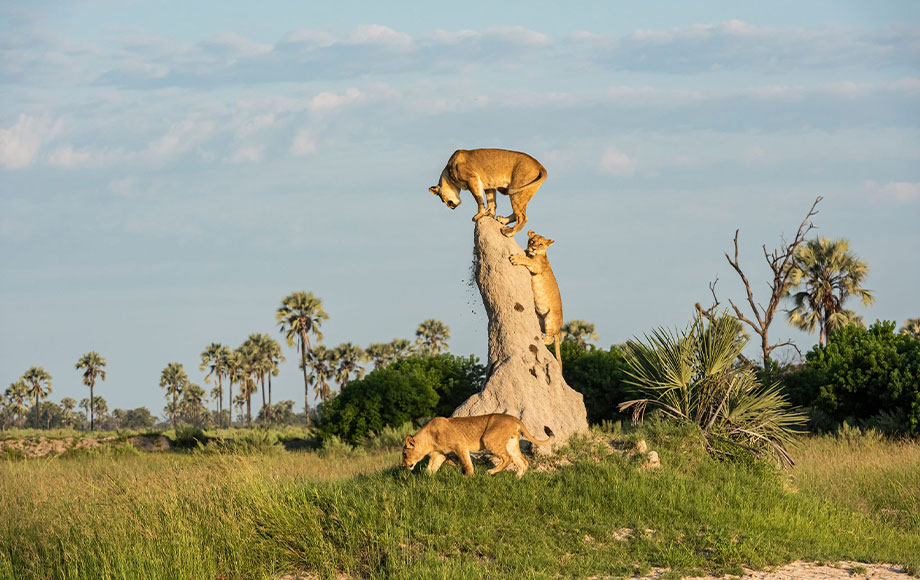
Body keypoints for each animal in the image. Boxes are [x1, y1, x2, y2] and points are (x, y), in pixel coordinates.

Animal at [402, 414, 552, 478]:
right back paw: (517, 478)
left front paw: (468, 476)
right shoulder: (439, 454)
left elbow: (467, 463)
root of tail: (515, 418)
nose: (403, 465)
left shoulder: (460, 445)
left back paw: (491, 472)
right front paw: (426, 478)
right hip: (511, 443)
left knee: (507, 458)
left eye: (404, 454)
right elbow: (431, 467)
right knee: (523, 462)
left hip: (488, 439)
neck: (428, 439)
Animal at [510, 230, 560, 368]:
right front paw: (525, 250)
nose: (533, 248)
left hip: (551, 318)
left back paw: (542, 338)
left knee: (549, 339)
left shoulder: (537, 266)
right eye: (532, 241)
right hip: (538, 318)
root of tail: (559, 330)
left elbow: (527, 260)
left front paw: (515, 258)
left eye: (541, 244)